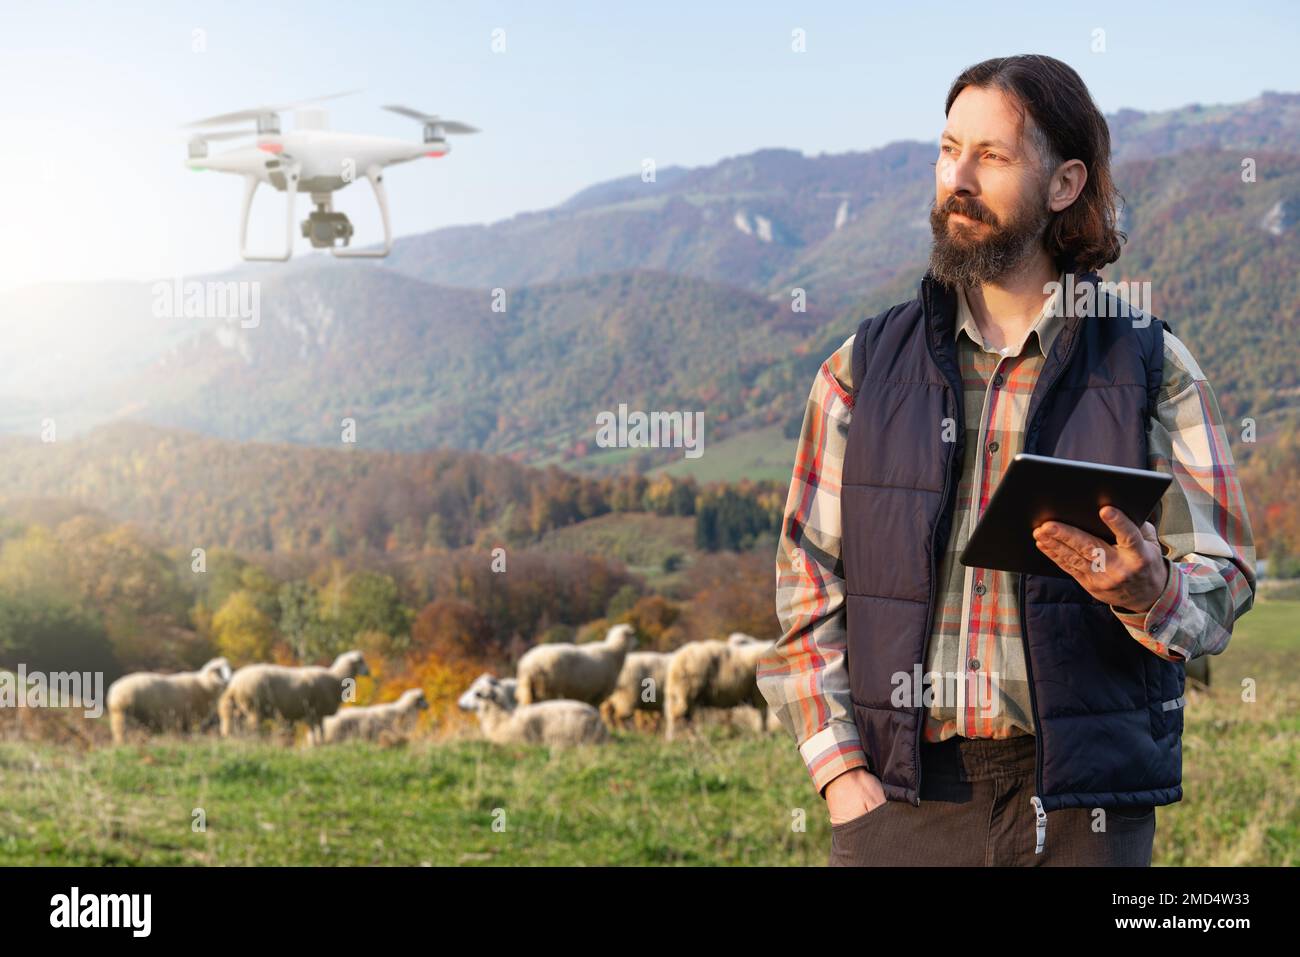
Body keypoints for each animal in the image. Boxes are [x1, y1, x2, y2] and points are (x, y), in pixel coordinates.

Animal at [219, 647, 371, 743]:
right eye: (361, 661)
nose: (368, 672)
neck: (336, 677)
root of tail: (233, 684)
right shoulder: (315, 711)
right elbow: (318, 730)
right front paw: (318, 744)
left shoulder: (313, 712)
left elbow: (318, 730)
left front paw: (318, 743)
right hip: (255, 709)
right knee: (253, 729)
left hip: (241, 709)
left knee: (237, 726)